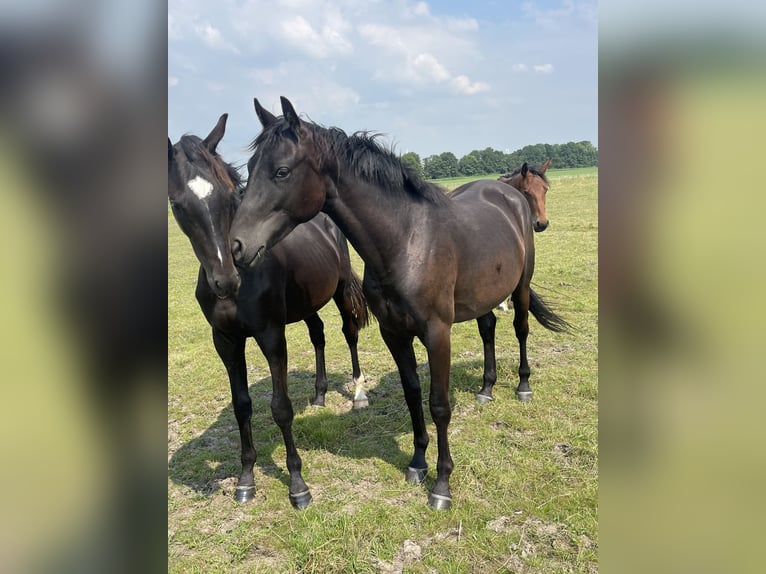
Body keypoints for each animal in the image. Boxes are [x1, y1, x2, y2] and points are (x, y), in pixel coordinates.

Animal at [169, 115, 372, 510]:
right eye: (178, 205)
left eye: (225, 193)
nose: (225, 277)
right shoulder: (226, 341)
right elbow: (242, 405)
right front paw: (246, 479)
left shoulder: (270, 335)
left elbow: (281, 407)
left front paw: (298, 486)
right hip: (307, 304)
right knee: (318, 334)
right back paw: (320, 395)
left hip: (340, 289)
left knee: (349, 332)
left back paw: (358, 394)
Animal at [228, 98, 568, 512]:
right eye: (249, 168)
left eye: (281, 171)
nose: (237, 246)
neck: (406, 240)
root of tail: (509, 196)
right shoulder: (394, 333)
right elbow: (411, 394)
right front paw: (418, 463)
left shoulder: (437, 333)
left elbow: (439, 404)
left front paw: (441, 485)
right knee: (488, 328)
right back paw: (487, 389)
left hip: (520, 288)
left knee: (520, 329)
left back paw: (522, 386)